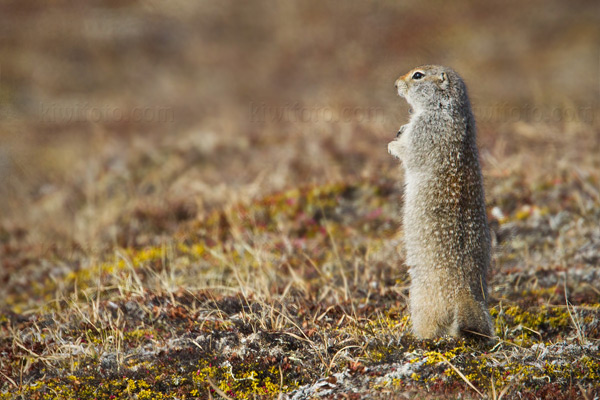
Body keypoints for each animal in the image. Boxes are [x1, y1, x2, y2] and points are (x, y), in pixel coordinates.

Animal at [390, 64, 492, 340]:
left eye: (417, 75)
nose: (395, 84)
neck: (446, 106)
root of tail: (463, 293)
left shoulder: (425, 128)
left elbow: (409, 150)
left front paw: (395, 141)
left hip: (420, 299)